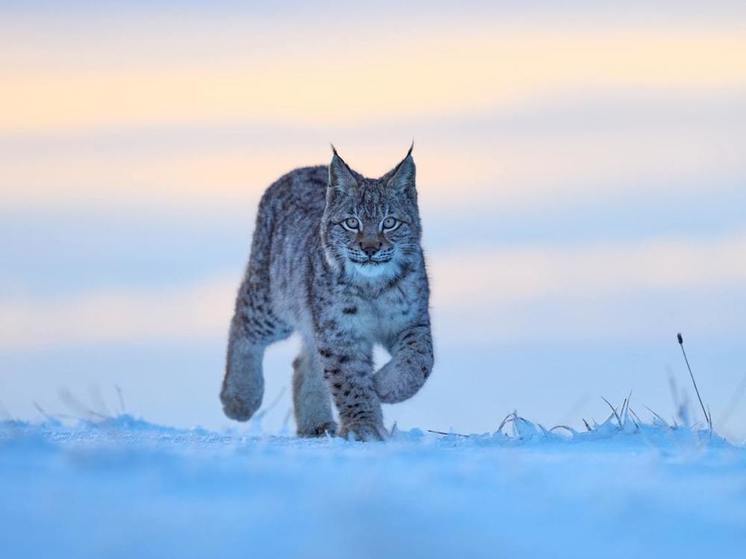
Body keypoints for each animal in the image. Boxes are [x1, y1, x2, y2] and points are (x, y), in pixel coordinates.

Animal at [218, 148, 434, 442]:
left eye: (389, 223)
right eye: (351, 223)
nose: (370, 249)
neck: (373, 285)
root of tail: (302, 169)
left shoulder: (412, 320)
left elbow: (420, 361)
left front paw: (383, 387)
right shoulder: (340, 330)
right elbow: (350, 380)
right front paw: (362, 426)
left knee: (303, 361)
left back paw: (315, 425)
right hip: (274, 302)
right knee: (242, 322)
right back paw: (240, 400)